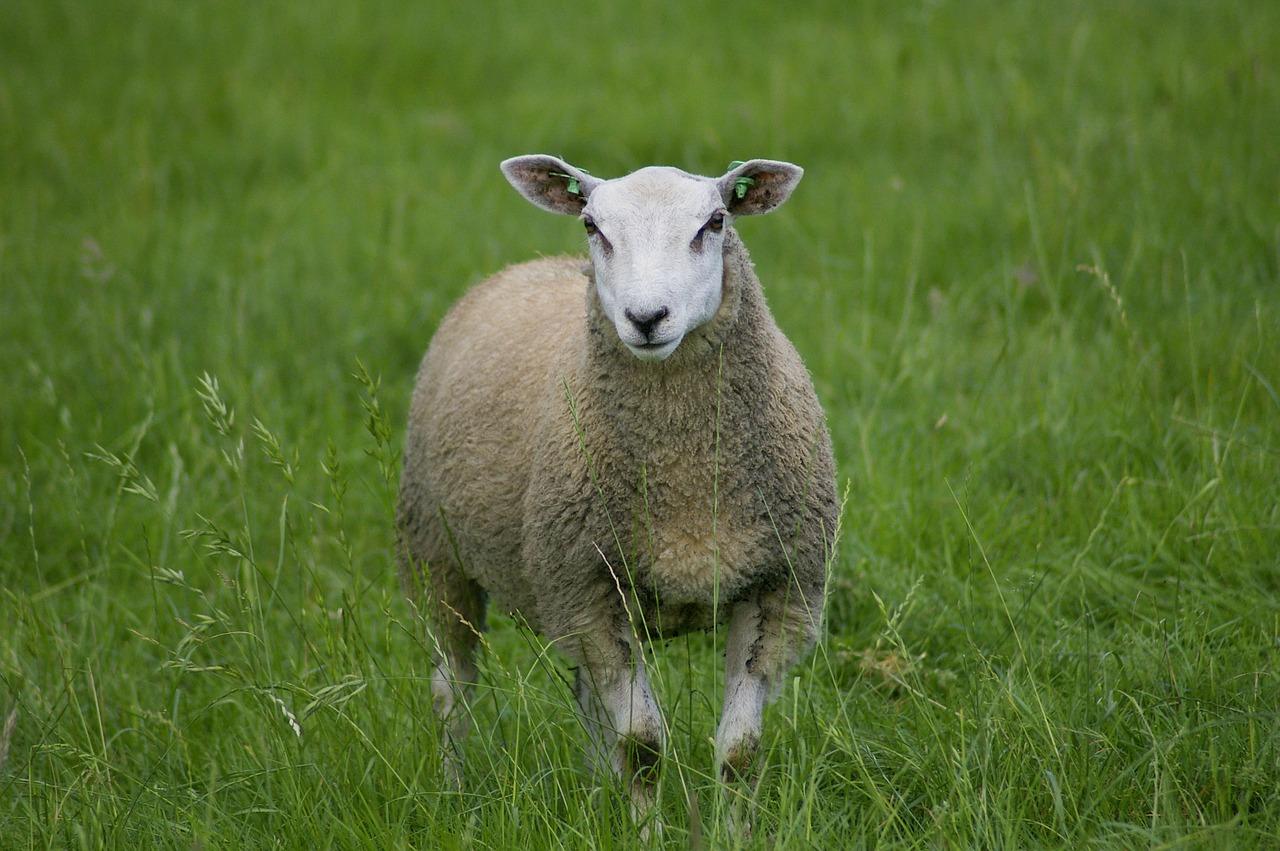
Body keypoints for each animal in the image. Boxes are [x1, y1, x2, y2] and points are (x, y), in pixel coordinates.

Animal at [399, 154, 839, 824]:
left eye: (715, 222)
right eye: (592, 225)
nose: (646, 318)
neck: (684, 469)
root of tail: (528, 265)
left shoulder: (780, 588)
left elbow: (739, 752)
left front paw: (733, 831)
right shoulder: (588, 590)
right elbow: (642, 746)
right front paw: (645, 829)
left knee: (584, 697)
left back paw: (591, 792)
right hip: (437, 553)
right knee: (452, 692)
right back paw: (455, 800)